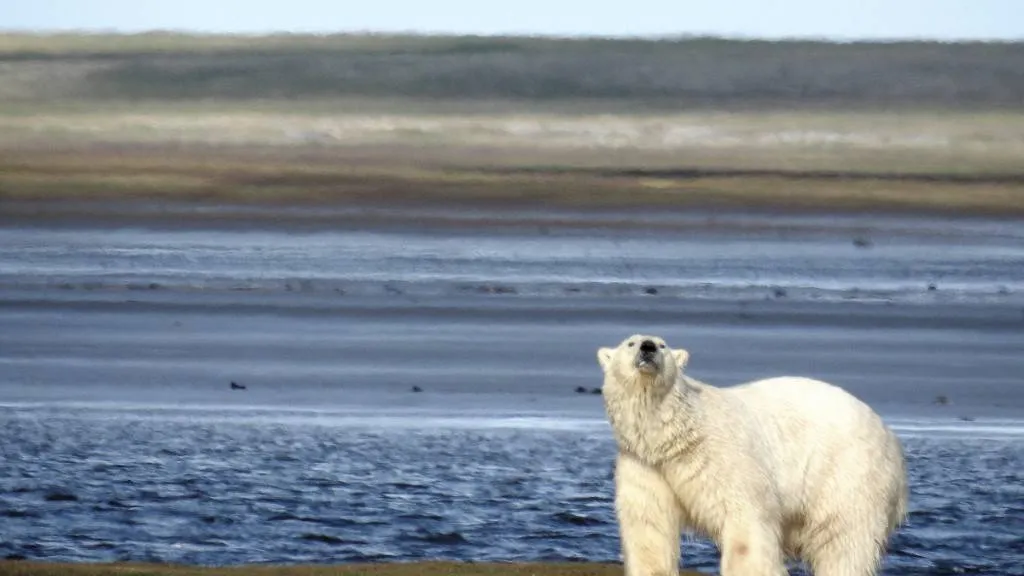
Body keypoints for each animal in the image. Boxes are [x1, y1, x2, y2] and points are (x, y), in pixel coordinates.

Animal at [598, 332, 909, 573]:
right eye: (631, 342)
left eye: (662, 345)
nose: (648, 347)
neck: (675, 437)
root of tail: (890, 437)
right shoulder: (646, 466)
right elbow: (649, 525)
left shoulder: (722, 458)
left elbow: (746, 523)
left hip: (848, 473)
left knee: (844, 542)